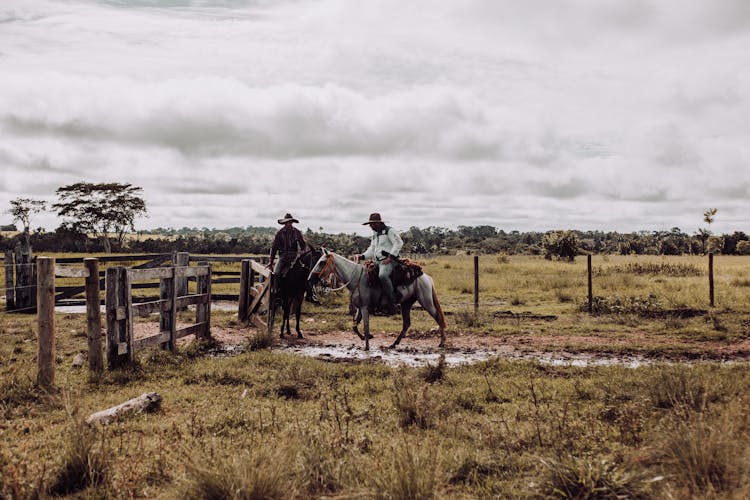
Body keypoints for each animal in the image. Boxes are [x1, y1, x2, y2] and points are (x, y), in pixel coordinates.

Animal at [306, 248, 446, 350]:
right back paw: (393, 344)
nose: (310, 279)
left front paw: (367, 347)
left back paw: (442, 342)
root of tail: (426, 277)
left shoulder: (364, 308)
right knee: (406, 323)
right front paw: (366, 338)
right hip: (406, 304)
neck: (357, 279)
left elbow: (365, 326)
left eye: (322, 262)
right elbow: (354, 326)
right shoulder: (359, 307)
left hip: (426, 302)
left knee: (438, 317)